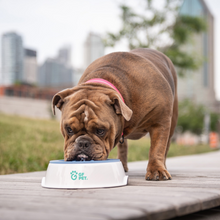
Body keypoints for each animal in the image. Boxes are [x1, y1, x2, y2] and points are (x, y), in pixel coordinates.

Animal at [52, 48, 178, 180]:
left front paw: (156, 170)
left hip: (172, 122)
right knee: (123, 146)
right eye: (69, 129)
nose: (82, 142)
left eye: (100, 131)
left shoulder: (160, 122)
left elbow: (157, 148)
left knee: (165, 146)